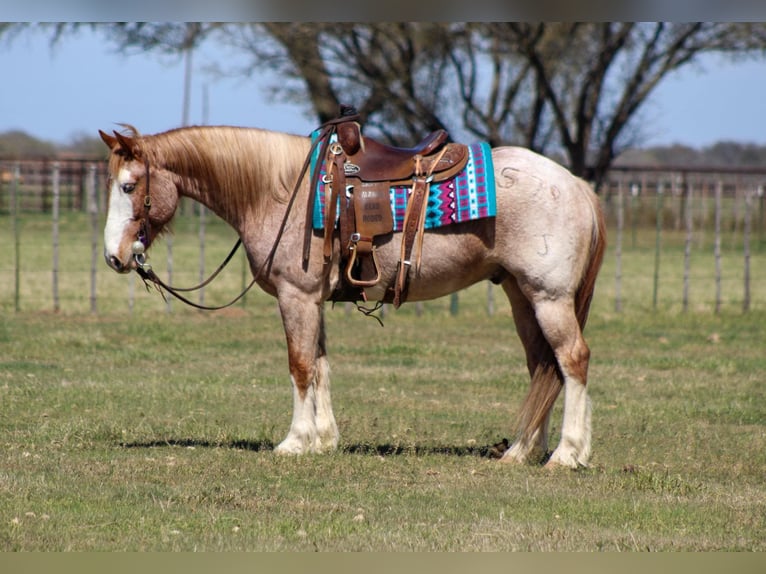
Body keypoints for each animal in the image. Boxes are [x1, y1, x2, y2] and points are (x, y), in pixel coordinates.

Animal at [98, 123, 606, 469]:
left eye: (129, 186)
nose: (114, 257)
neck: (280, 190)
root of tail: (577, 186)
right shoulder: (312, 301)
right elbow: (321, 365)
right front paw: (323, 440)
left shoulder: (296, 297)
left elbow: (301, 366)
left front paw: (295, 441)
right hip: (522, 297)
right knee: (543, 366)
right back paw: (521, 451)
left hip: (549, 298)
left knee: (573, 360)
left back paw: (568, 454)